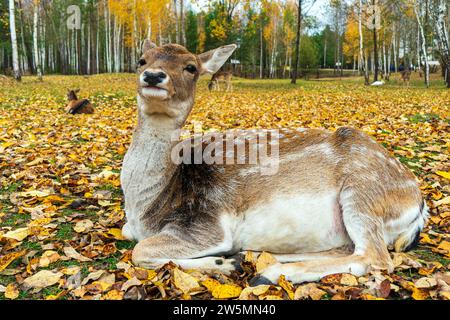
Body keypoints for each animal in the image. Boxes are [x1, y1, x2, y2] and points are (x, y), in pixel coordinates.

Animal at [120, 40, 428, 284]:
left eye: (191, 67)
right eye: (141, 60)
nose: (153, 75)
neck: (146, 207)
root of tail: (419, 206)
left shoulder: (207, 225)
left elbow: (140, 250)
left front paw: (223, 263)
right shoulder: (133, 226)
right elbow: (130, 236)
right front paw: (228, 261)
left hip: (363, 192)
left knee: (375, 256)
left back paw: (269, 273)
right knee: (348, 248)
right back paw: (257, 254)